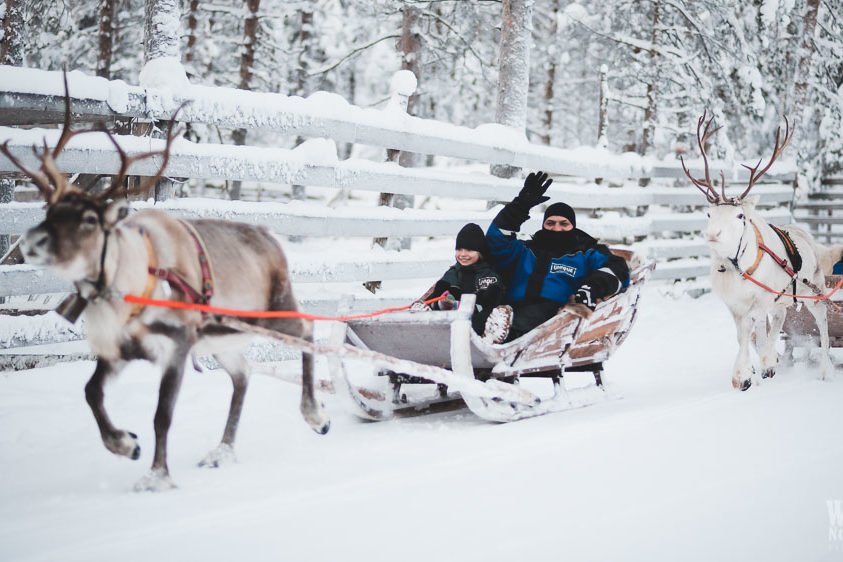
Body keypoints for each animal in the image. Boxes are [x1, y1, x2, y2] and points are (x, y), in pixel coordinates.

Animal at [1, 74, 330, 491]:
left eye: (90, 219)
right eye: (49, 209)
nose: (31, 241)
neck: (131, 291)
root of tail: (271, 238)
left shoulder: (177, 346)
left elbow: (162, 416)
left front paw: (157, 476)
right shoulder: (116, 350)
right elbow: (91, 393)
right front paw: (126, 444)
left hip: (273, 311)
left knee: (308, 331)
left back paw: (316, 415)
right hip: (222, 337)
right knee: (243, 373)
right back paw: (222, 451)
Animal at [681, 113, 836, 390]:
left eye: (740, 215)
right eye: (709, 214)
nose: (712, 234)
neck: (733, 267)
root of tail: (807, 236)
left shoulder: (760, 301)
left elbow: (748, 334)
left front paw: (743, 374)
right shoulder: (734, 305)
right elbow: (743, 336)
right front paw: (752, 373)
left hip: (814, 291)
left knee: (823, 325)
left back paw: (824, 370)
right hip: (781, 301)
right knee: (779, 319)